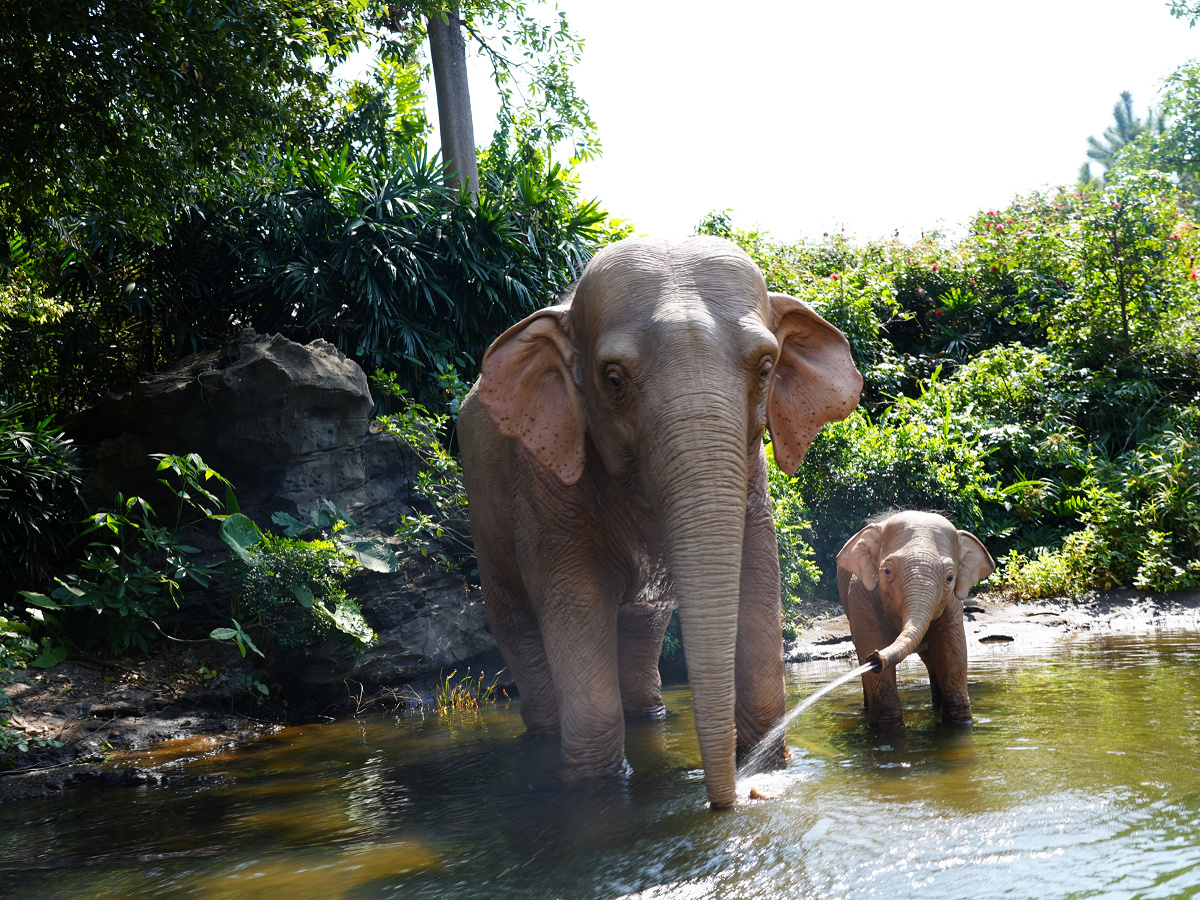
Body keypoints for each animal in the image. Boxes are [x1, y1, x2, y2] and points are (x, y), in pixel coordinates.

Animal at [453, 237, 859, 811]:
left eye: (766, 368)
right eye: (613, 380)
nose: (735, 799)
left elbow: (755, 577)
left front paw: (770, 769)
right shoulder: (544, 469)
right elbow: (574, 597)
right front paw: (595, 788)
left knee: (642, 629)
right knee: (518, 625)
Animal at [835, 511, 993, 729]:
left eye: (950, 578)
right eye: (886, 571)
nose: (875, 658)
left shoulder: (952, 605)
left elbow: (953, 651)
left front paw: (960, 724)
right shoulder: (860, 597)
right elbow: (872, 642)